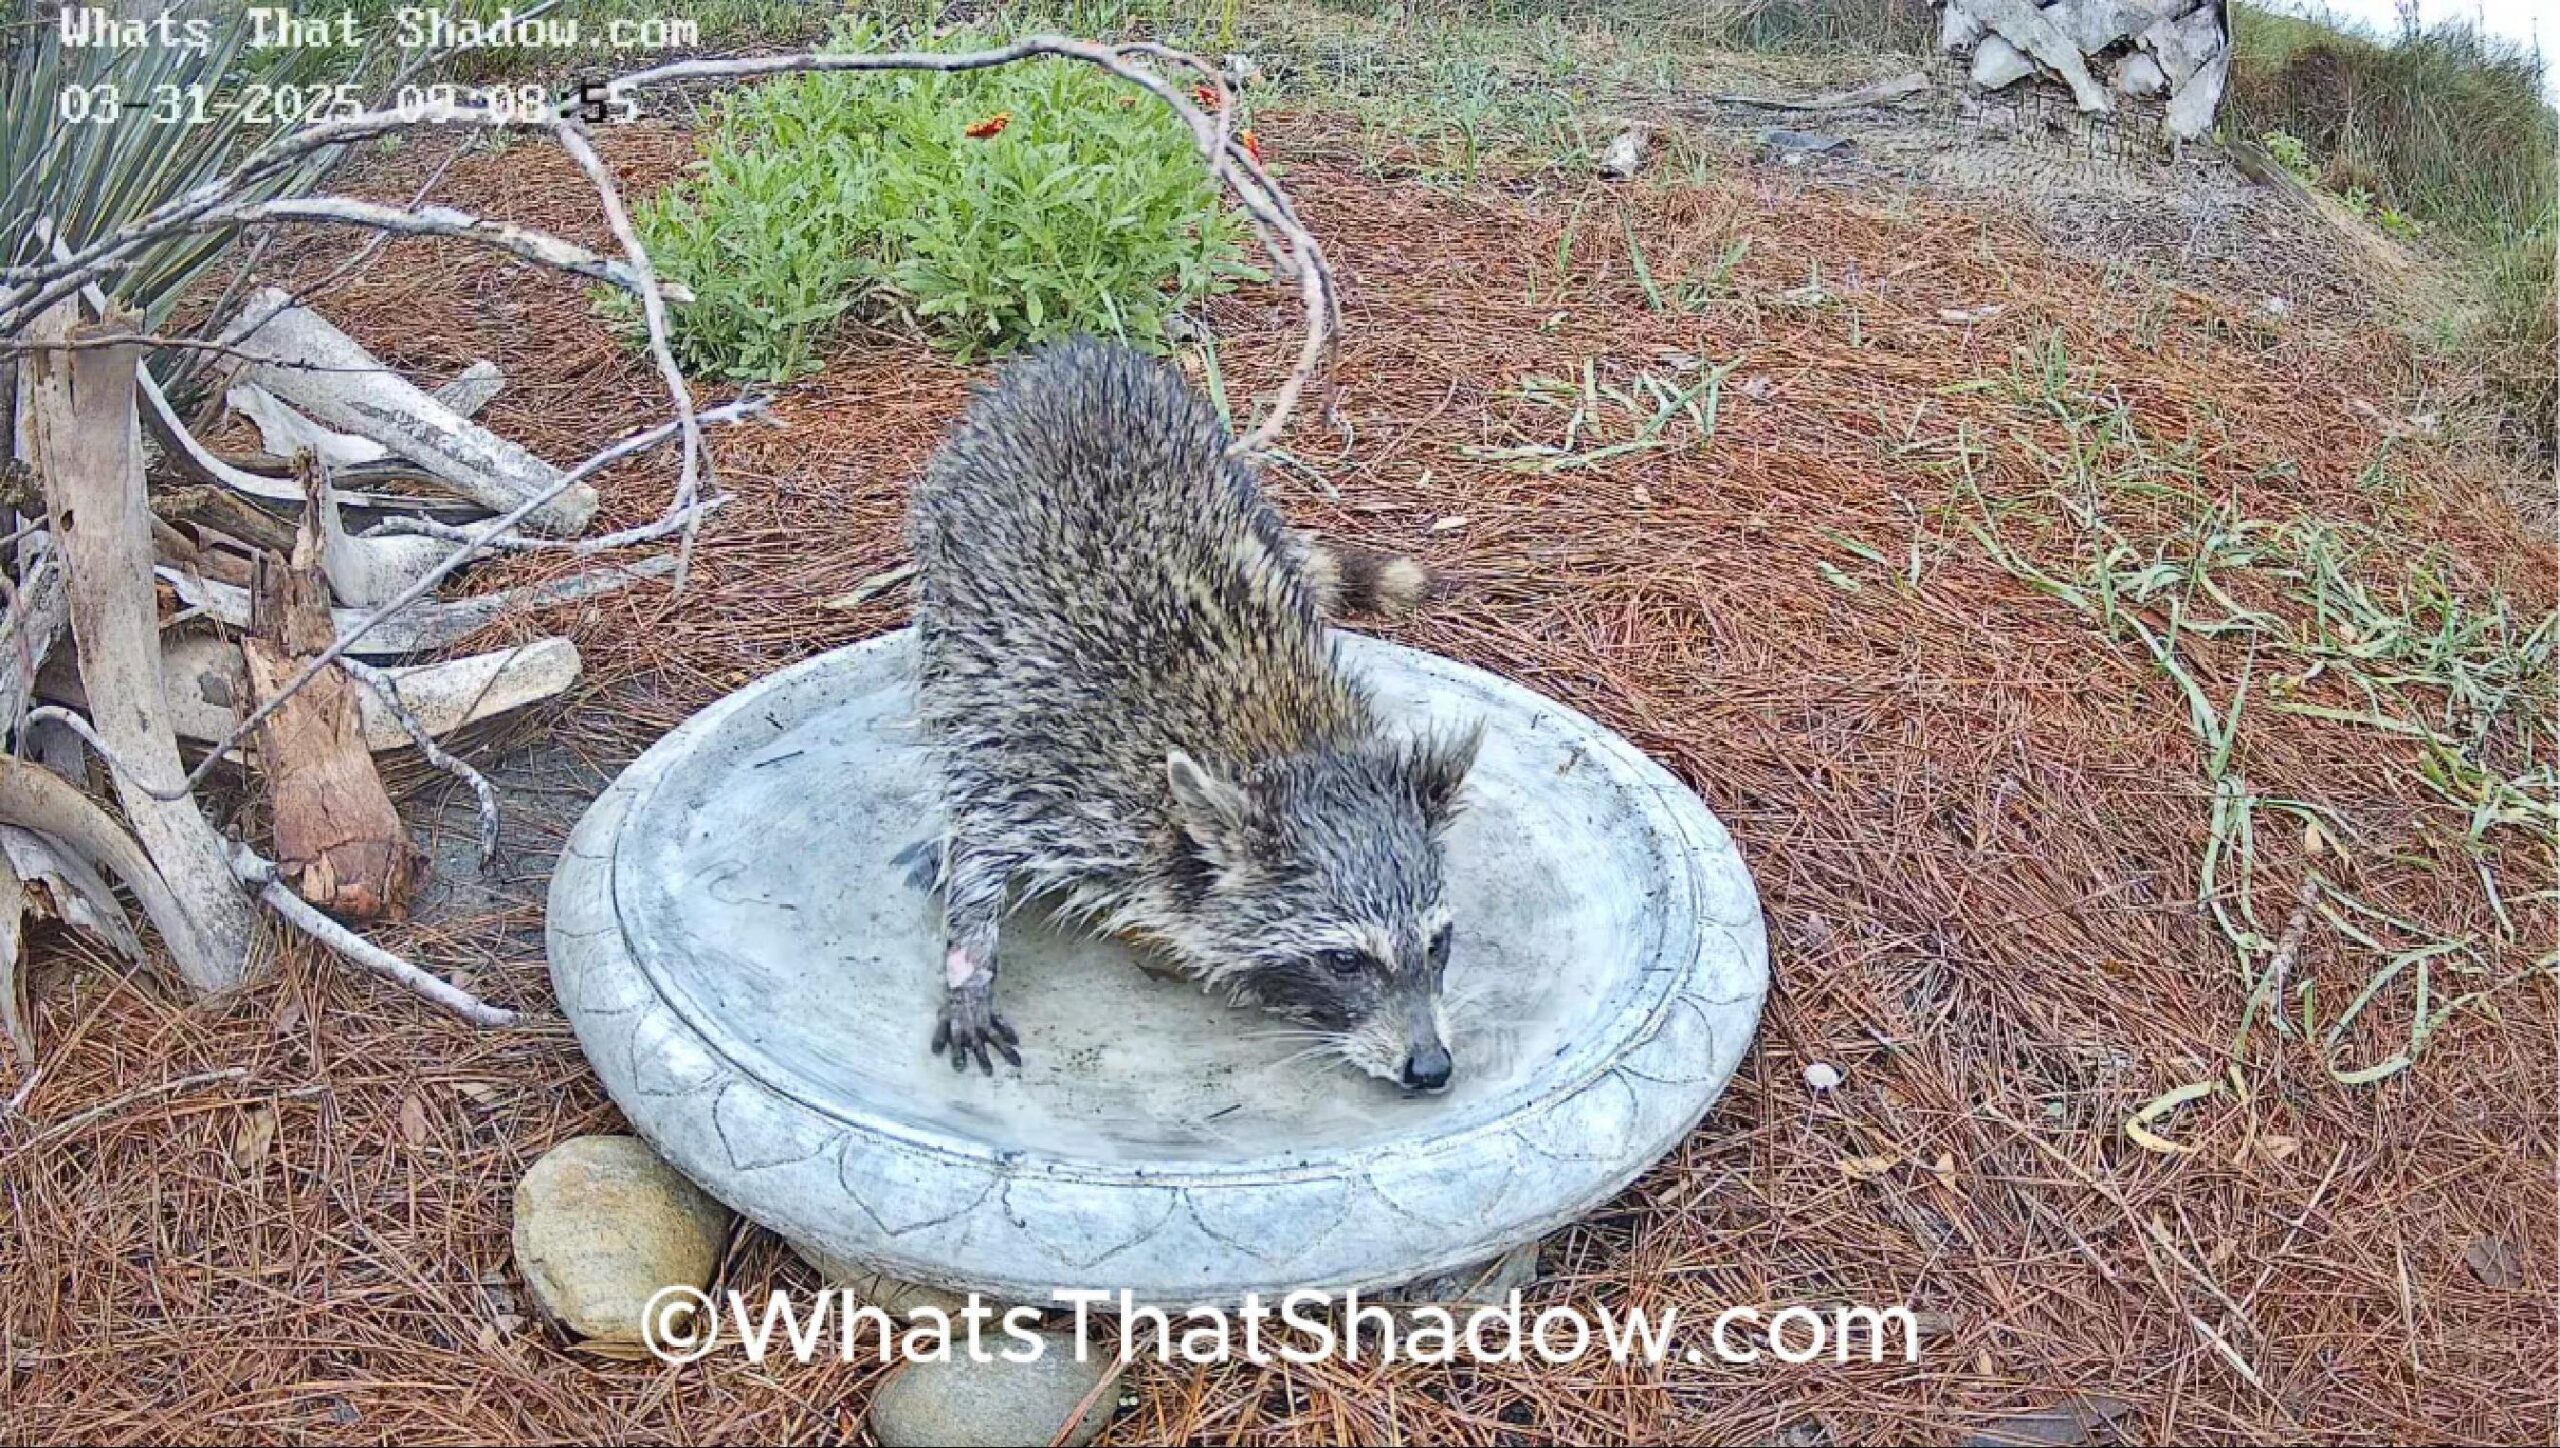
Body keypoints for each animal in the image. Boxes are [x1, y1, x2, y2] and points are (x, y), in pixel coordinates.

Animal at [907, 337, 1479, 1092]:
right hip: (947, 568)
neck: (1287, 742)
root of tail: (1076, 353)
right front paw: (968, 965)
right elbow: (982, 834)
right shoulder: (1051, 765)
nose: (1431, 1067)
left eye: (1438, 944)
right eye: (1345, 960)